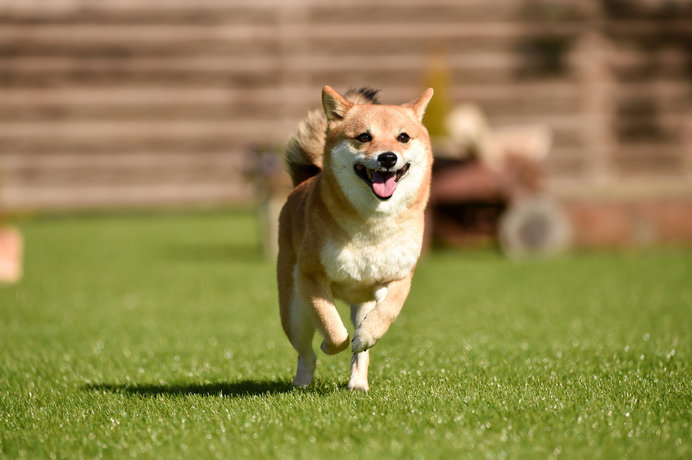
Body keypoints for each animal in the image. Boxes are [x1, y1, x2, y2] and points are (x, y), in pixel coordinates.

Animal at [276, 84, 432, 390]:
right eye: (364, 137)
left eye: (403, 137)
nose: (387, 157)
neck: (372, 224)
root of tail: (304, 181)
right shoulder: (311, 277)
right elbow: (333, 330)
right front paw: (330, 344)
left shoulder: (397, 277)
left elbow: (386, 313)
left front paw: (366, 335)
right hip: (294, 309)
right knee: (305, 353)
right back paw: (302, 381)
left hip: (360, 304)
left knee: (360, 354)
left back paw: (358, 382)